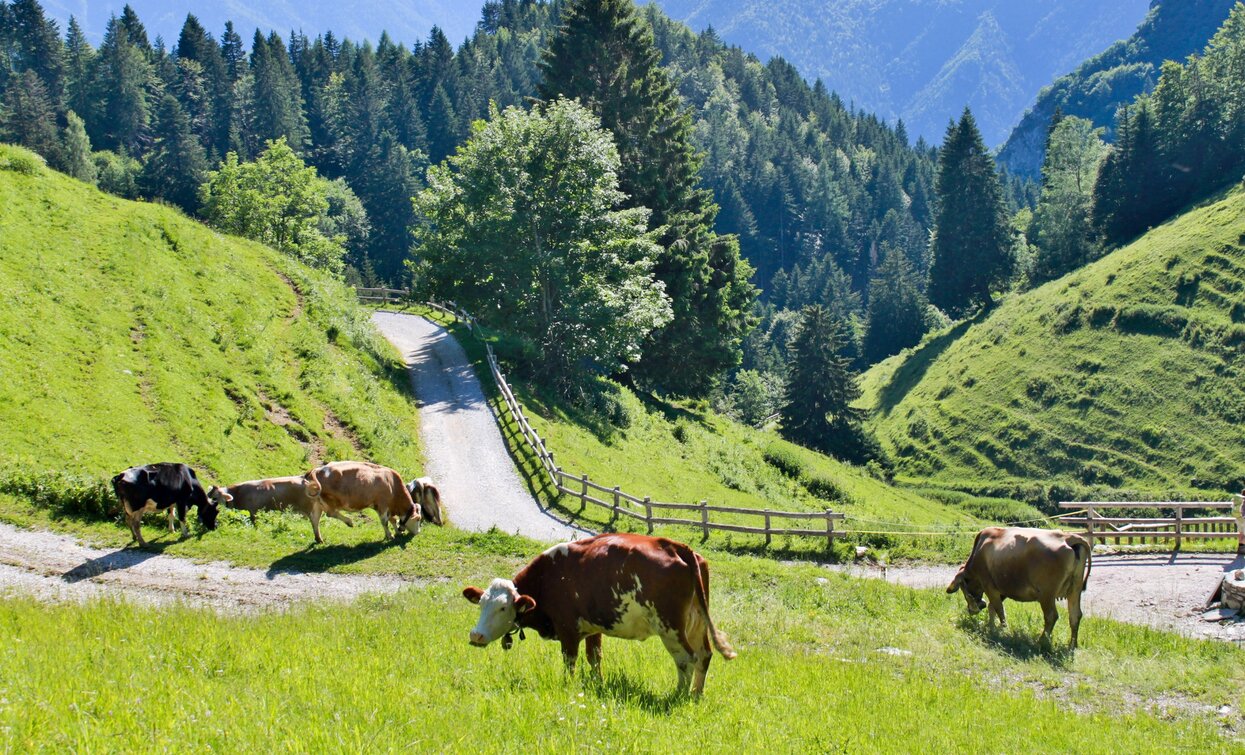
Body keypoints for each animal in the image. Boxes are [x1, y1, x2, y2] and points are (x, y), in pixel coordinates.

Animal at [462, 533, 737, 697]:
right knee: (704, 655)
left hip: (670, 627)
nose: (476, 635)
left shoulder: (568, 629)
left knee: (686, 658)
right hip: (696, 623)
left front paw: (568, 686)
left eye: (502, 607)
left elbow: (570, 661)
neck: (549, 577)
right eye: (482, 603)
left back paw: (677, 695)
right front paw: (597, 683)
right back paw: (696, 695)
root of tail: (675, 546)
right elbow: (595, 658)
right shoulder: (593, 628)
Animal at [947, 527, 1092, 648]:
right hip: (1075, 589)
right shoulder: (1002, 588)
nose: (972, 610)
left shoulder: (989, 586)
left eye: (963, 589)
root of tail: (1068, 538)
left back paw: (1041, 641)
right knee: (1075, 615)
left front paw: (1002, 629)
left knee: (1051, 616)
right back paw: (1072, 645)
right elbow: (992, 607)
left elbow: (999, 609)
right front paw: (991, 626)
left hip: (1046, 594)